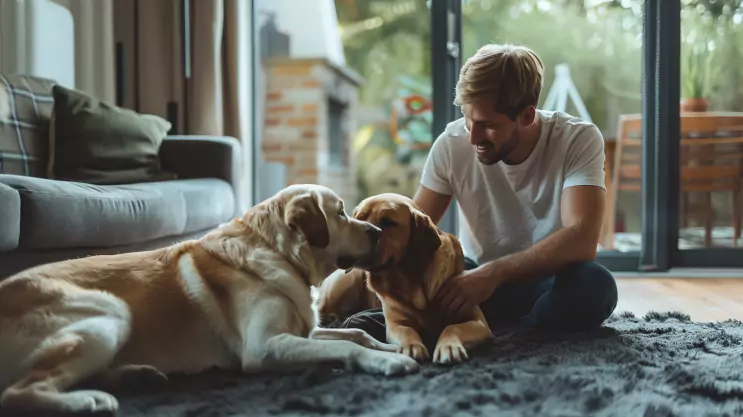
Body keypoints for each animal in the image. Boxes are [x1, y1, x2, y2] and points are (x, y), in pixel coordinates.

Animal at [316, 193, 494, 362]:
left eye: (388, 222)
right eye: (359, 219)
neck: (411, 282)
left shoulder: (477, 320)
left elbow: (452, 327)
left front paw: (449, 346)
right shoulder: (395, 324)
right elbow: (407, 332)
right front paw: (412, 346)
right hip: (343, 285)